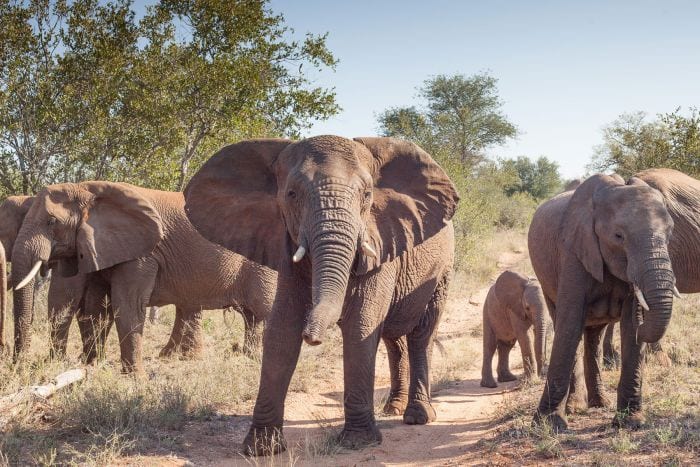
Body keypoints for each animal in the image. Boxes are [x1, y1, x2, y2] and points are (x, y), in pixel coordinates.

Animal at [10, 182, 277, 371]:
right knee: (248, 316)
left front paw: (134, 378)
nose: (18, 366)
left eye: (51, 221)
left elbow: (126, 303)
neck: (87, 188)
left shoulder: (143, 253)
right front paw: (91, 366)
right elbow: (97, 307)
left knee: (262, 312)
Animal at [184, 135, 459, 455]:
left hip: (442, 271)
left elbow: (361, 326)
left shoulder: (380, 243)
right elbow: (281, 330)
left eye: (367, 195)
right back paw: (393, 407)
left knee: (421, 335)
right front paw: (261, 448)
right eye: (291, 194)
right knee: (394, 338)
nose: (313, 338)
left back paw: (418, 416)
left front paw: (357, 442)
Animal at [528, 174, 678, 432]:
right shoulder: (573, 250)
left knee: (593, 338)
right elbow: (569, 325)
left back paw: (599, 404)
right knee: (568, 327)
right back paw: (575, 408)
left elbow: (630, 325)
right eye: (619, 236)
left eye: (670, 234)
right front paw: (548, 425)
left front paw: (631, 421)